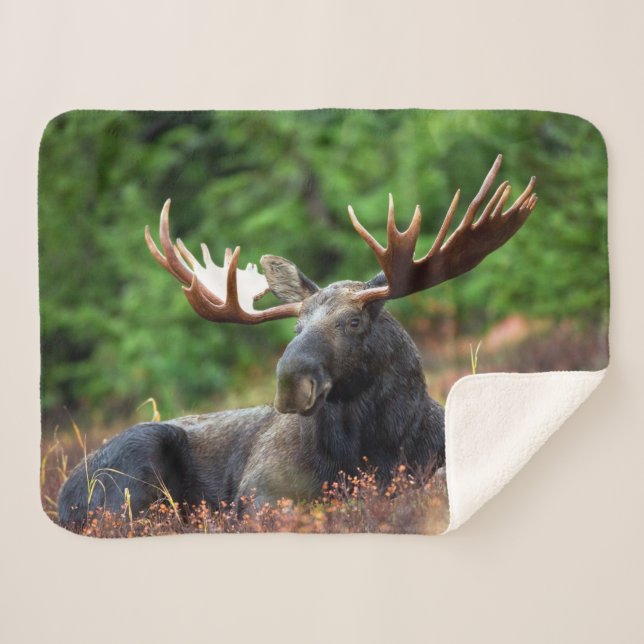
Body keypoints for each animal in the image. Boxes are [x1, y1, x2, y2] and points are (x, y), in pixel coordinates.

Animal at [56, 155, 537, 529]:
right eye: (296, 328)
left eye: (353, 321)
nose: (290, 382)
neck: (374, 448)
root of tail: (62, 498)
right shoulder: (259, 491)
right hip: (132, 473)